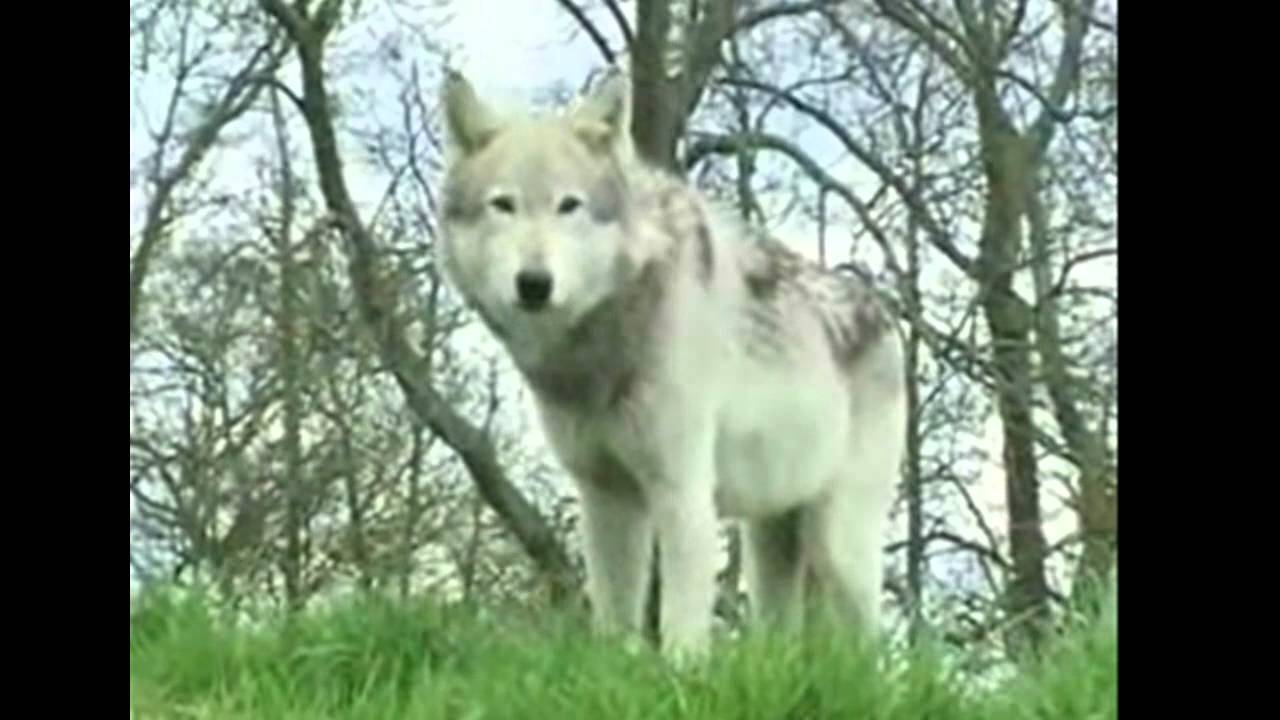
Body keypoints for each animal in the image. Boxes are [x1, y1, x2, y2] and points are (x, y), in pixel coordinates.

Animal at [437, 69, 907, 661]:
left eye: (570, 205)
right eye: (503, 205)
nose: (535, 283)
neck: (600, 343)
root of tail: (883, 314)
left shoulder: (682, 491)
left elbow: (681, 628)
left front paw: (683, 673)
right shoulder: (605, 496)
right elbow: (614, 618)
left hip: (837, 544)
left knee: (871, 647)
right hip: (769, 541)